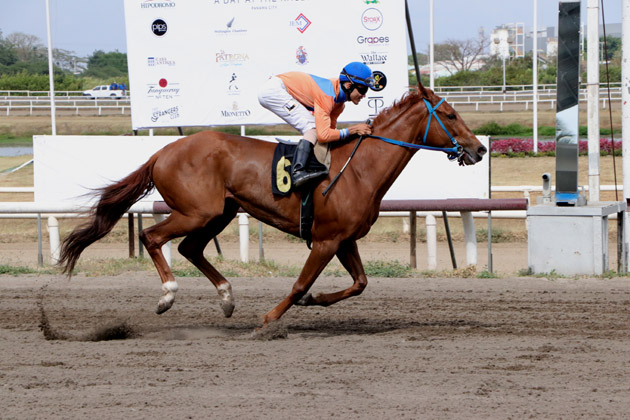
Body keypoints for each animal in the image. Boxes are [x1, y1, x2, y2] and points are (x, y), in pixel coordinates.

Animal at [58, 86, 488, 328]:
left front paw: (315, 301)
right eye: (450, 114)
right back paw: (168, 295)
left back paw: (227, 298)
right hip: (197, 212)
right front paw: (268, 319)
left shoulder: (344, 239)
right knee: (152, 237)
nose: (479, 149)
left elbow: (360, 283)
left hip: (221, 212)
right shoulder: (325, 240)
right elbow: (300, 283)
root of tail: (162, 151)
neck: (358, 168)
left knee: (189, 248)